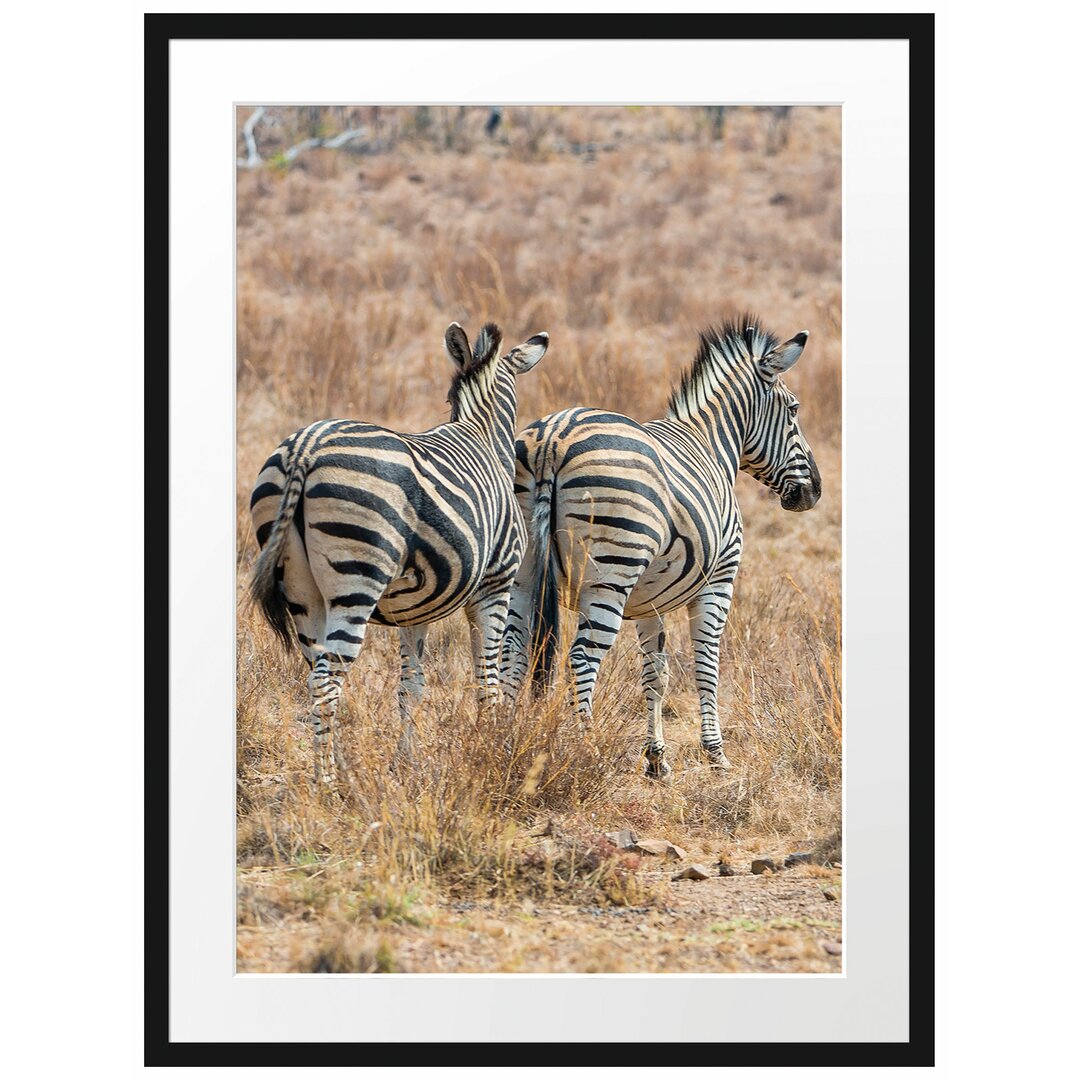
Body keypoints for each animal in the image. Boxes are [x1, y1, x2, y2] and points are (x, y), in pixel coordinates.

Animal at [250, 319, 548, 786]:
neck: (482, 434)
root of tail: (306, 447)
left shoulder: (415, 609)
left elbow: (412, 685)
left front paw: (405, 762)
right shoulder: (496, 585)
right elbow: (487, 678)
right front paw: (492, 751)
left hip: (301, 591)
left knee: (316, 674)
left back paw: (337, 772)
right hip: (358, 577)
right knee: (327, 683)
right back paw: (327, 784)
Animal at [501, 315, 820, 781]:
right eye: (794, 410)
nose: (813, 491)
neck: (712, 444)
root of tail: (553, 439)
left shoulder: (648, 599)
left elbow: (657, 673)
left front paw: (657, 759)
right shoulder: (719, 580)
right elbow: (707, 664)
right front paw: (715, 753)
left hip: (524, 571)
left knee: (512, 650)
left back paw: (500, 739)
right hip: (613, 570)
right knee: (581, 657)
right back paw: (587, 752)